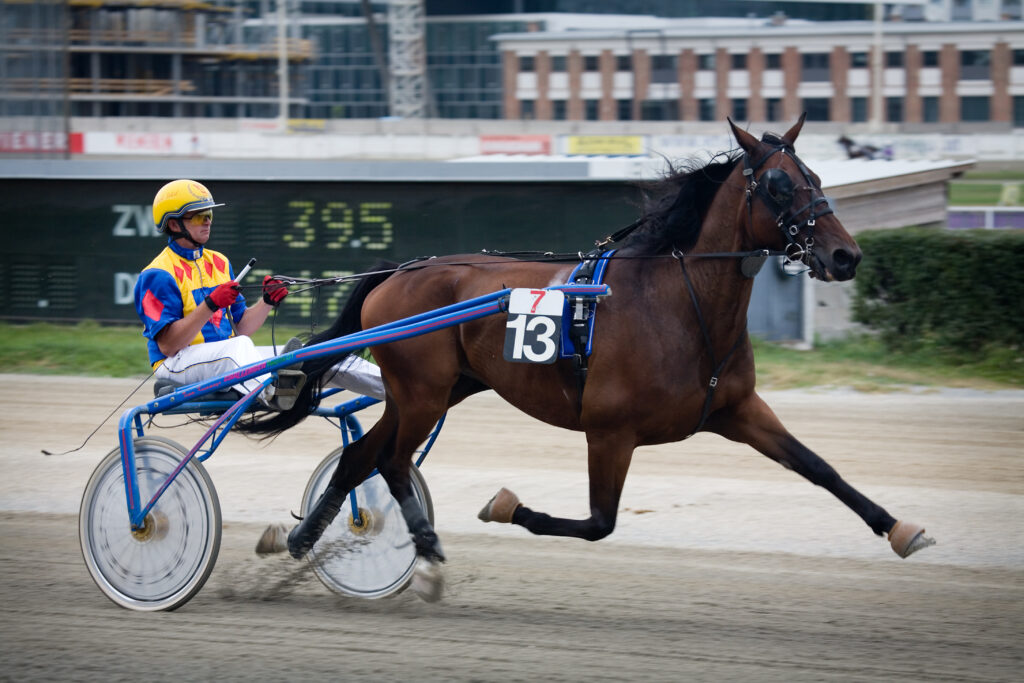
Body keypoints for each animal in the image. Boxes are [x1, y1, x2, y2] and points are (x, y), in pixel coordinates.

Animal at [243, 118, 933, 598]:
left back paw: (308, 538)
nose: (846, 256)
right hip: (422, 391)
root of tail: (401, 269)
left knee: (363, 456)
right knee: (387, 459)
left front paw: (901, 529)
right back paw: (410, 548)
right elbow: (599, 522)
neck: (679, 303)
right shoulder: (610, 431)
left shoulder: (737, 409)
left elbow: (819, 468)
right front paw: (504, 505)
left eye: (815, 177)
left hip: (438, 390)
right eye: (779, 185)